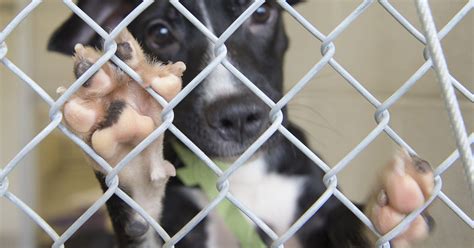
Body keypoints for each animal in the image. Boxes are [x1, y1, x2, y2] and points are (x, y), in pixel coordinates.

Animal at [50, 0, 436, 247]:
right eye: (160, 32)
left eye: (261, 13)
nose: (237, 116)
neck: (241, 176)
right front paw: (136, 164)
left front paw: (386, 215)